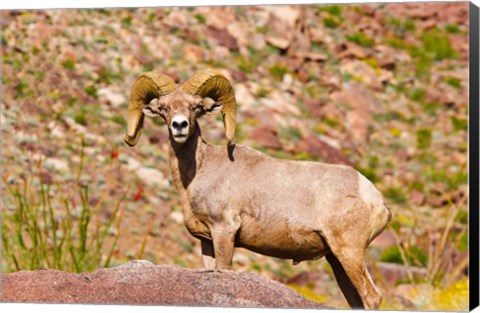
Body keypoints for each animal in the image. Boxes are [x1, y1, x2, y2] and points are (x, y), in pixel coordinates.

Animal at [125, 69, 392, 308]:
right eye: (164, 108)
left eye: (196, 107)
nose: (179, 126)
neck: (198, 172)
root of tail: (376, 199)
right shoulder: (207, 241)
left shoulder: (224, 232)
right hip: (336, 259)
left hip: (349, 252)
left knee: (372, 297)